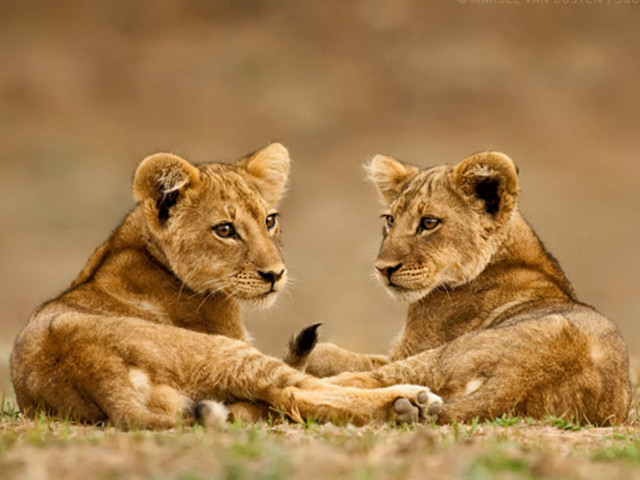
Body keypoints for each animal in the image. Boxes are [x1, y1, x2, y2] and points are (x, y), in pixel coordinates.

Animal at [10, 143, 442, 429]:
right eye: (225, 230)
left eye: (269, 220)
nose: (275, 274)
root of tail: (95, 370)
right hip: (220, 351)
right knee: (296, 390)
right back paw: (408, 400)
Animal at [288, 151, 631, 425]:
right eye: (390, 220)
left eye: (428, 222)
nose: (383, 268)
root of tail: (522, 375)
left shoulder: (411, 348)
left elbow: (340, 356)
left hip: (441, 356)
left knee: (356, 382)